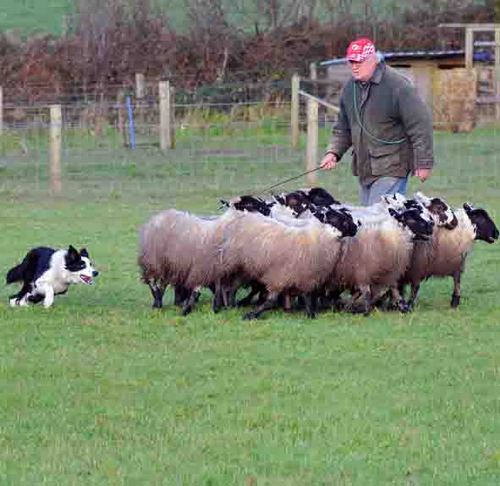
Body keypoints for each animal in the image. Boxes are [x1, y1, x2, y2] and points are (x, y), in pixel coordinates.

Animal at [219, 208, 360, 318]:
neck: (319, 237)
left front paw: (310, 315)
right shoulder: (280, 277)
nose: (356, 228)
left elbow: (307, 297)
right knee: (227, 287)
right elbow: (271, 301)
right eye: (342, 220)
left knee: (232, 287)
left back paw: (231, 305)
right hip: (235, 265)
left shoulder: (306, 277)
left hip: (245, 270)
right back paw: (227, 306)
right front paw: (252, 314)